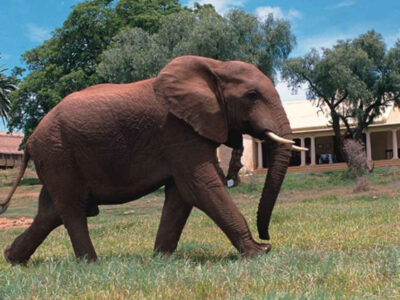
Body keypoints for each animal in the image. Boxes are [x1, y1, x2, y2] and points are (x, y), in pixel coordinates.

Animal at [0, 55, 306, 264]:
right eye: (252, 95)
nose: (267, 238)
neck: (214, 66)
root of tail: (31, 139)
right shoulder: (178, 131)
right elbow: (202, 187)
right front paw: (258, 253)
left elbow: (181, 195)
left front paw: (161, 258)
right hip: (58, 153)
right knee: (72, 209)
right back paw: (91, 264)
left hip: (55, 157)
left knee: (50, 212)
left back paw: (13, 260)